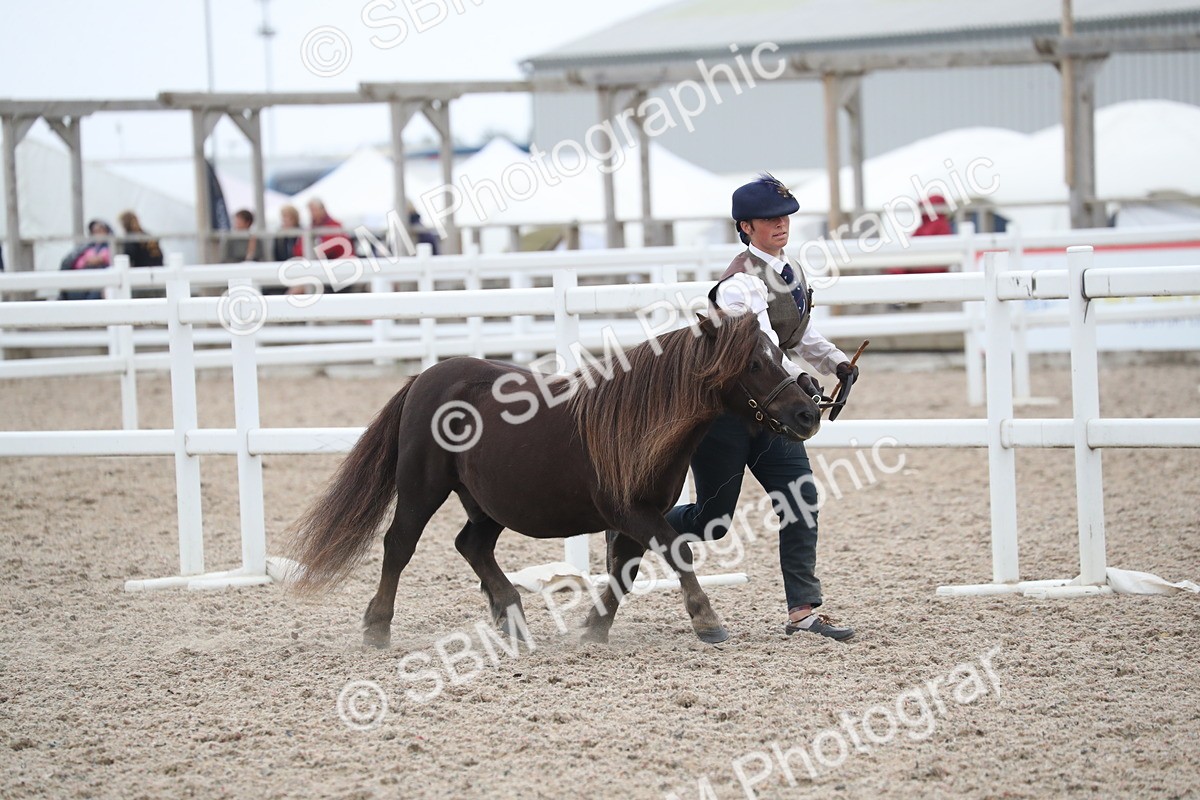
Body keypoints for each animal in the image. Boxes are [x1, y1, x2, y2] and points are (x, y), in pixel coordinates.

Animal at [287, 311, 822, 647]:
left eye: (779, 352)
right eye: (753, 361)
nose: (808, 413)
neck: (637, 419)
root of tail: (424, 379)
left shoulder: (637, 517)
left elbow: (624, 571)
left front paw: (594, 628)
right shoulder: (631, 511)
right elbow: (677, 550)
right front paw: (707, 620)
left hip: (489, 503)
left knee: (471, 546)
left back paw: (512, 618)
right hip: (422, 489)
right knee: (399, 546)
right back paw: (377, 628)